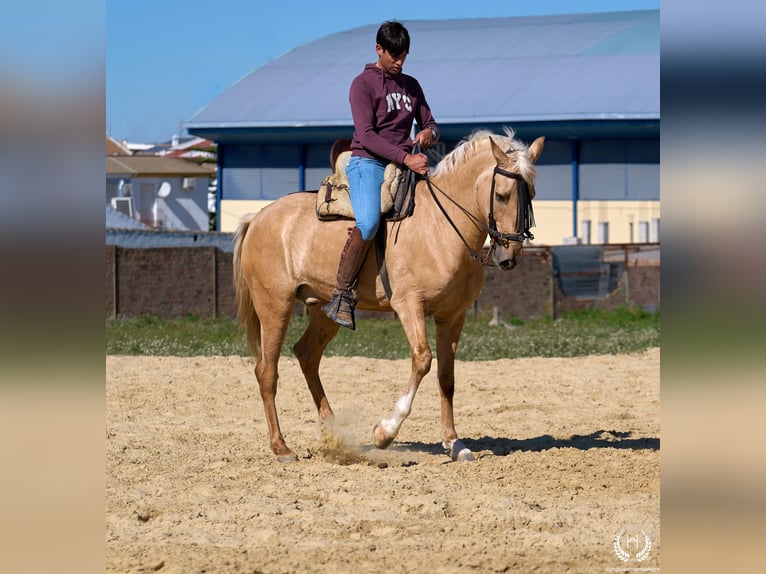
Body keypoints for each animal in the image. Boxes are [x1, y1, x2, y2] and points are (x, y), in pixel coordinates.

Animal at [233, 128, 544, 463]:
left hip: (324, 312)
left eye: (532, 193)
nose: (509, 257)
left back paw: (334, 434)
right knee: (267, 371)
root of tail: (258, 217)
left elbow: (446, 378)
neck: (440, 227)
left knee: (306, 355)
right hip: (274, 307)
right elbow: (423, 360)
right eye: (501, 195)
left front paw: (454, 442)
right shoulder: (409, 306)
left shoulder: (452, 316)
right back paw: (281, 447)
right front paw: (385, 432)